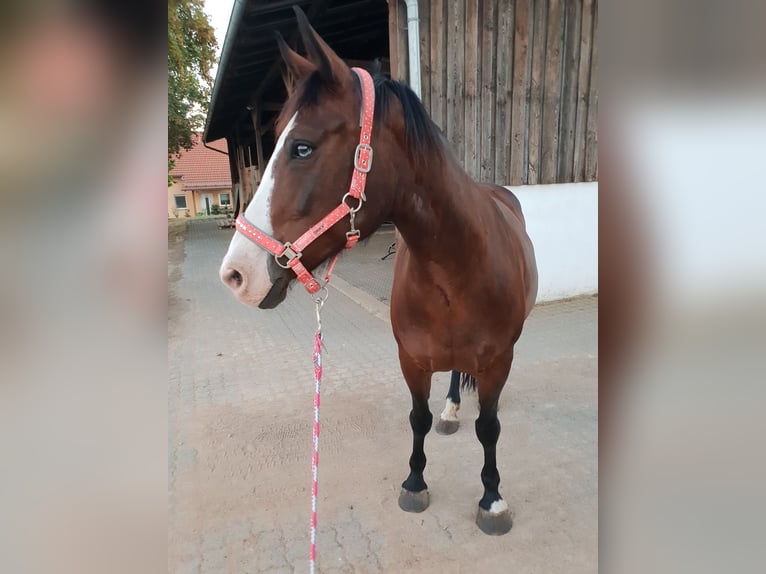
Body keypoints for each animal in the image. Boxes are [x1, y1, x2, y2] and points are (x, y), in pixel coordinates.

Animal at [219, 9, 536, 536]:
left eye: (302, 148)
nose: (235, 275)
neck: (456, 268)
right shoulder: (411, 360)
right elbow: (417, 419)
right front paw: (415, 482)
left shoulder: (498, 362)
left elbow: (489, 428)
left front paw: (492, 500)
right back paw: (452, 408)